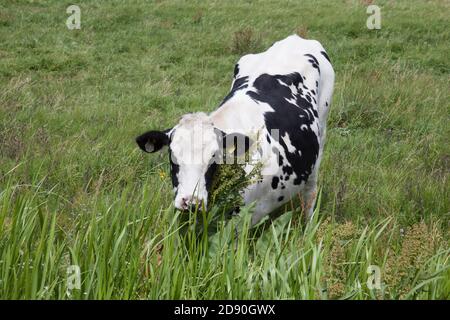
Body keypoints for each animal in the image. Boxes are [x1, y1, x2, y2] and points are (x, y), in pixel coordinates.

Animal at [136, 34, 334, 225]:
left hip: (321, 138)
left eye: (213, 158)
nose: (191, 202)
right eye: (173, 155)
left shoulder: (243, 218)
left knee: (310, 193)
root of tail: (295, 38)